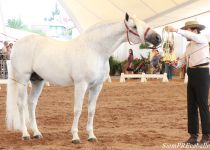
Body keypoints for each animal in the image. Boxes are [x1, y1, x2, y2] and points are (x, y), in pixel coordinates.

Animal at [6, 13, 161, 144]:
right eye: (134, 27)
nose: (158, 38)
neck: (95, 50)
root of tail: (18, 43)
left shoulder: (97, 86)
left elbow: (91, 110)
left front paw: (91, 136)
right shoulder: (81, 84)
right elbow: (78, 109)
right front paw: (75, 137)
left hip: (37, 80)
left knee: (32, 103)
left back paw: (37, 133)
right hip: (23, 80)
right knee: (21, 104)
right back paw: (25, 134)